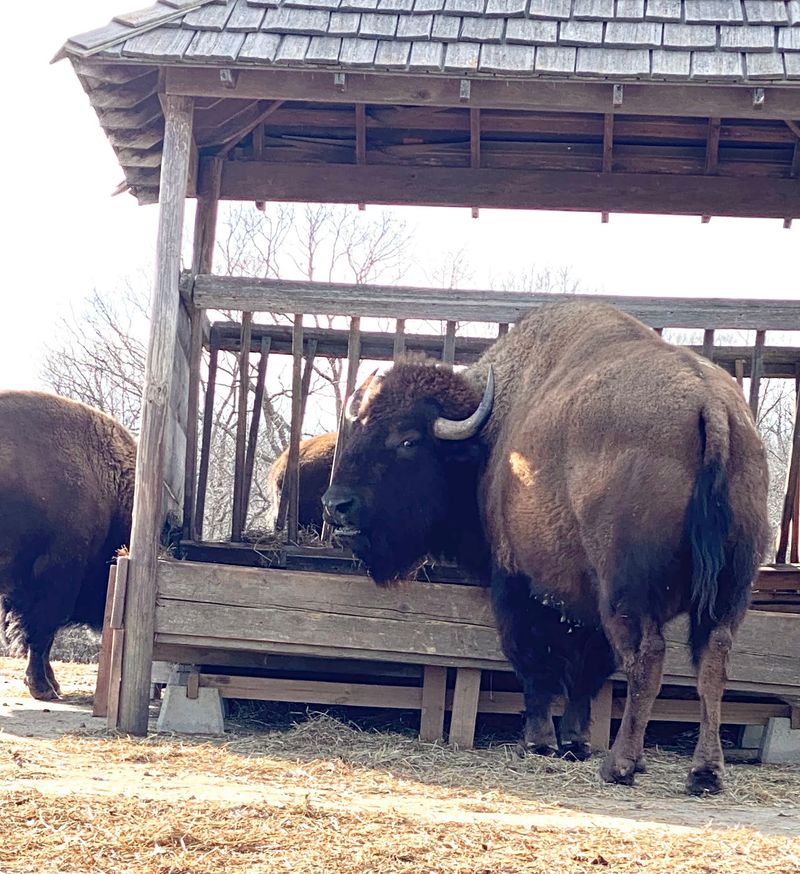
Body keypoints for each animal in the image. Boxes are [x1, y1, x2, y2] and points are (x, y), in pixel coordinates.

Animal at [323, 301, 769, 794]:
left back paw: (621, 765)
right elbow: (585, 674)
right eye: (360, 428)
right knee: (712, 660)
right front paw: (574, 742)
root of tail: (711, 405)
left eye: (407, 440)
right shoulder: (584, 606)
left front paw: (539, 742)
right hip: (730, 590)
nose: (336, 505)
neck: (489, 438)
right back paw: (704, 773)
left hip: (629, 594)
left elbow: (535, 663)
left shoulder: (517, 586)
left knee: (647, 658)